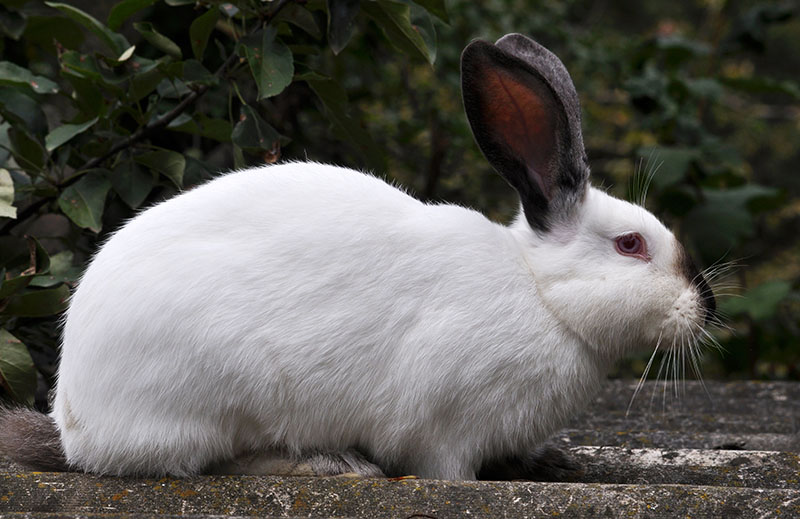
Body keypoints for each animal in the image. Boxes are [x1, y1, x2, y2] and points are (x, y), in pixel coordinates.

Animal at [0, 33, 715, 480]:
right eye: (631, 245)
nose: (704, 305)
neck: (544, 295)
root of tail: (77, 424)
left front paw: (549, 461)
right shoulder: (445, 430)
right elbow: (448, 471)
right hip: (219, 400)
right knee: (207, 462)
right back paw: (330, 463)